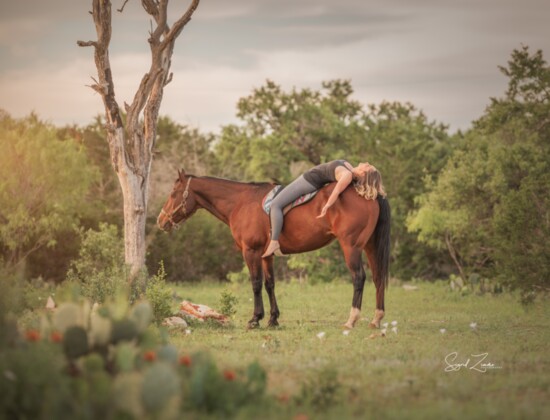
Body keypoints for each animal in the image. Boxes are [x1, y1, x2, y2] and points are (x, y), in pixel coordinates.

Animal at [157, 169, 392, 330]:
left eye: (174, 192)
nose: (161, 221)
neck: (241, 202)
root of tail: (370, 193)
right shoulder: (266, 255)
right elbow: (270, 284)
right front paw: (273, 319)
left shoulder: (251, 252)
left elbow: (255, 284)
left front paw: (255, 319)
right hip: (370, 246)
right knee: (378, 278)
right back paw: (376, 319)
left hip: (351, 247)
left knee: (359, 278)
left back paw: (352, 319)